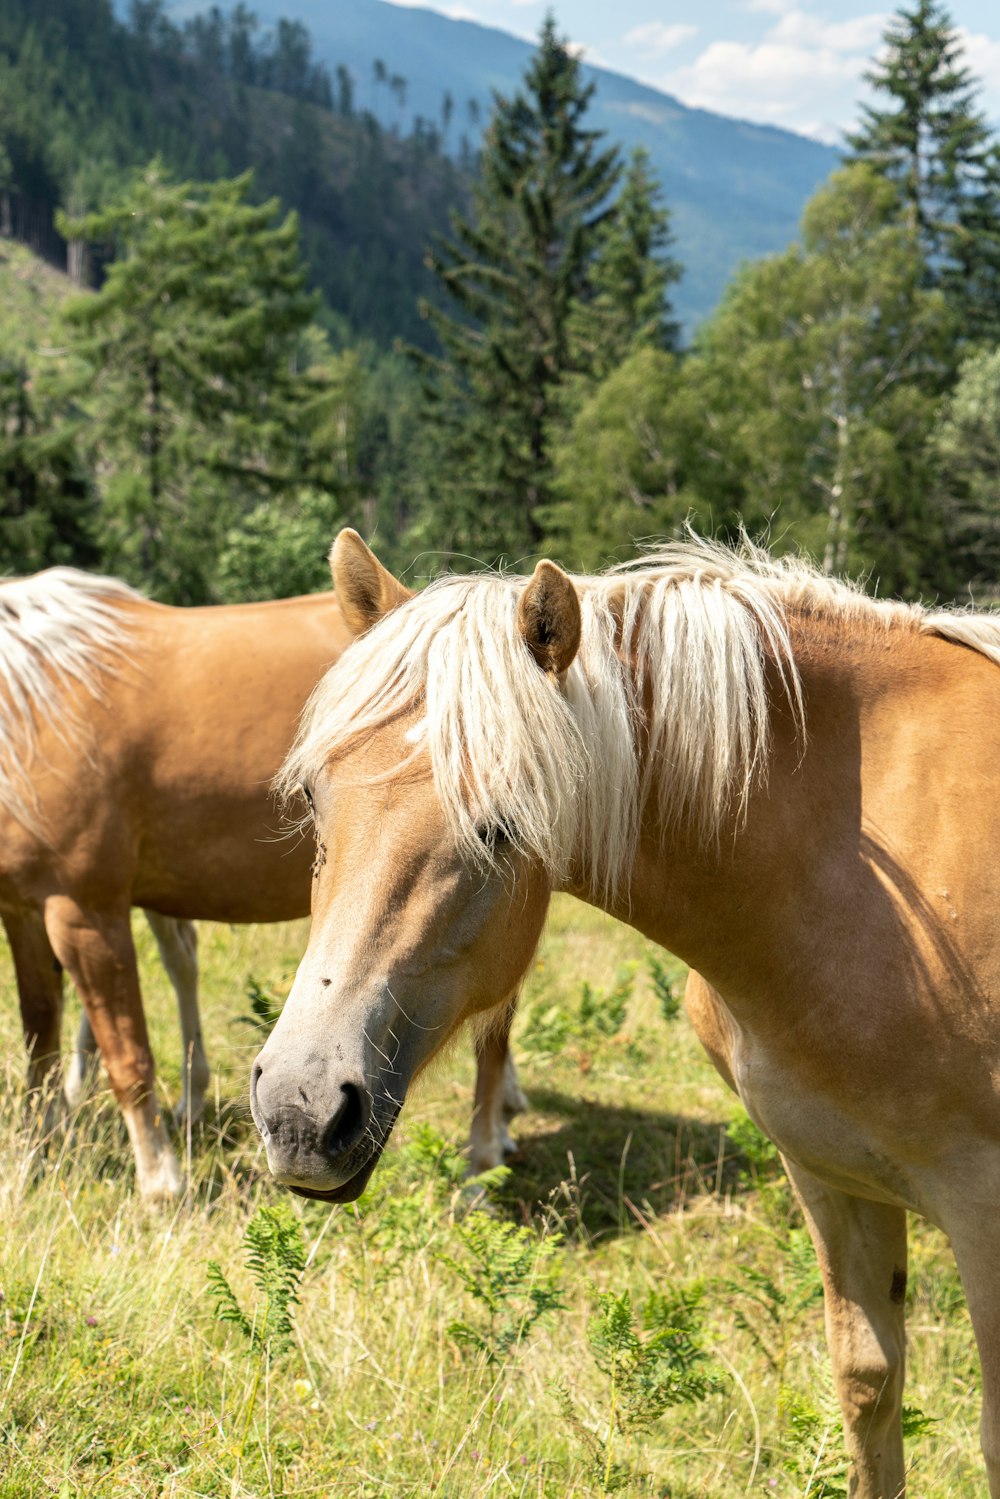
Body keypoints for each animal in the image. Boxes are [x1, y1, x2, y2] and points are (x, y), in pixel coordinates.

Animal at [1, 566, 524, 1199]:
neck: (30, 713)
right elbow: (39, 1032)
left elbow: (127, 1056)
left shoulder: (85, 909)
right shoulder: (23, 910)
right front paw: (40, 1146)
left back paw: (482, 1157)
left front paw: (160, 1178)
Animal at [256, 530, 1000, 1499]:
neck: (866, 882)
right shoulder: (831, 1176)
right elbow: (870, 1388)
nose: (300, 1111)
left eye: (502, 826)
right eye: (314, 796)